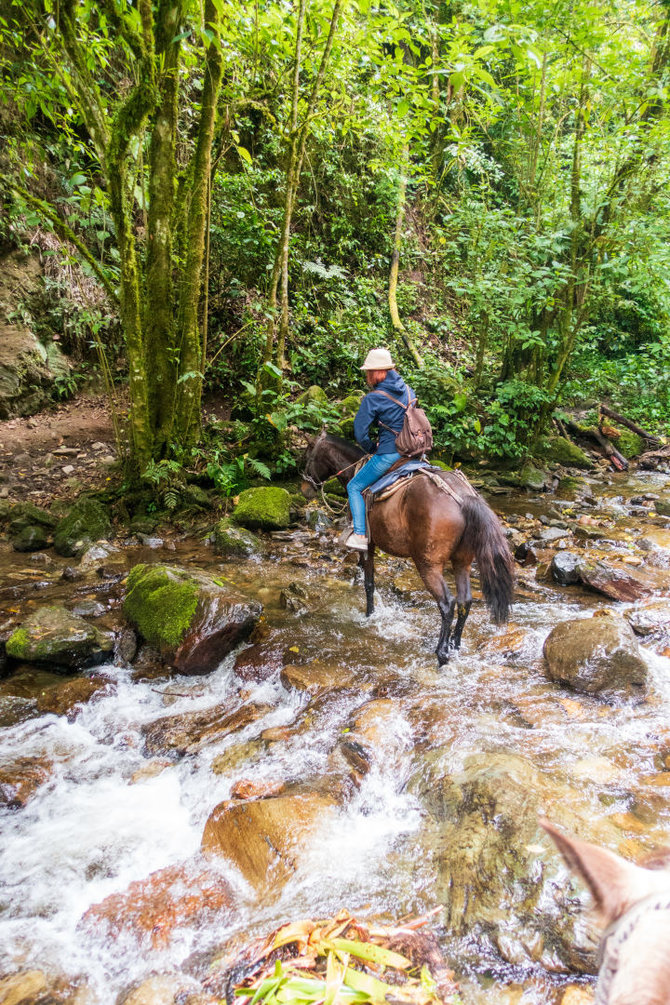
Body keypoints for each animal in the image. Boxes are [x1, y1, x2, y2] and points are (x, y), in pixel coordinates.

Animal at [301, 428, 518, 663]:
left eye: (306, 457)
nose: (304, 489)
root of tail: (462, 497)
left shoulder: (368, 544)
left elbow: (369, 583)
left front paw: (369, 615)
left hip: (427, 564)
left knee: (447, 603)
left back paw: (441, 653)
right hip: (462, 561)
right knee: (465, 601)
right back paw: (455, 645)